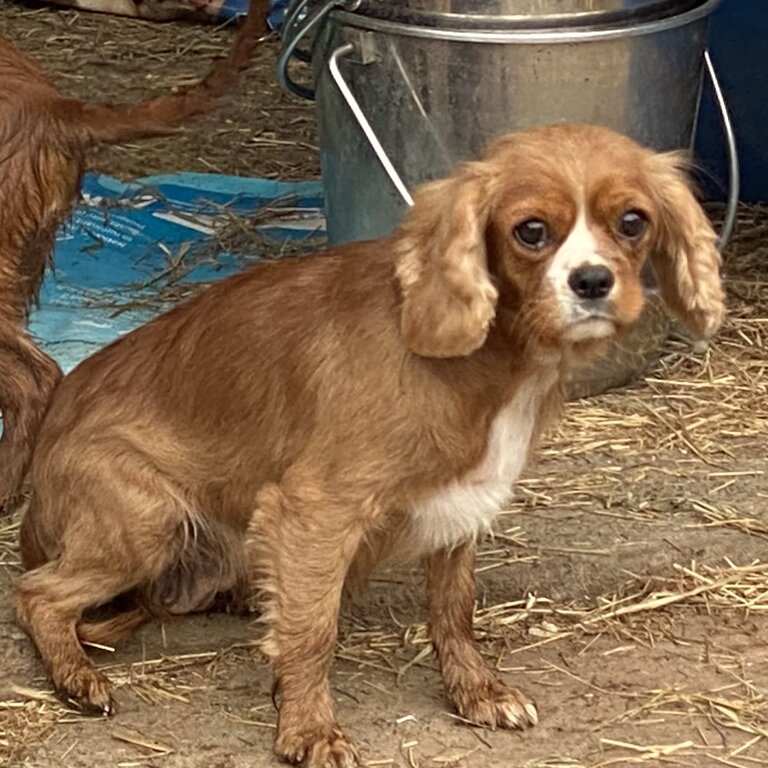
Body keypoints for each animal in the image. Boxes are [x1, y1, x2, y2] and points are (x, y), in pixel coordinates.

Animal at [16, 124, 728, 768]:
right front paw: (308, 731)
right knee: (37, 595)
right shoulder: (316, 510)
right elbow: (311, 632)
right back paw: (78, 677)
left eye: (632, 222)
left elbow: (454, 611)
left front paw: (476, 692)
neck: (485, 357)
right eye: (531, 231)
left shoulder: (461, 506)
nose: (593, 281)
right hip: (148, 521)